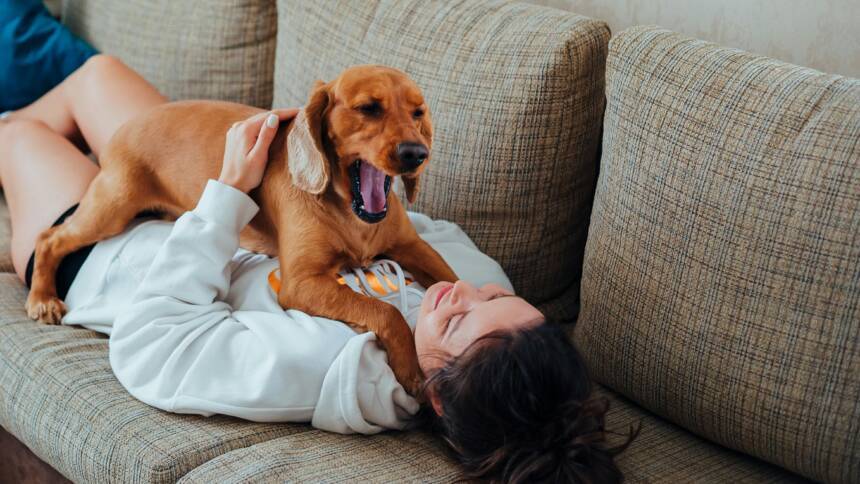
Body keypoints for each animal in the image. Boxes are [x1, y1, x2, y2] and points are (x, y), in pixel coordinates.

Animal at [25, 66, 456, 394]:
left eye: (418, 112)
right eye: (368, 108)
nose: (416, 154)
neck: (350, 212)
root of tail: (127, 125)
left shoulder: (414, 247)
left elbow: (450, 280)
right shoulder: (302, 282)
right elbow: (384, 310)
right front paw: (411, 368)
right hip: (111, 209)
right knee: (49, 238)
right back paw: (43, 297)